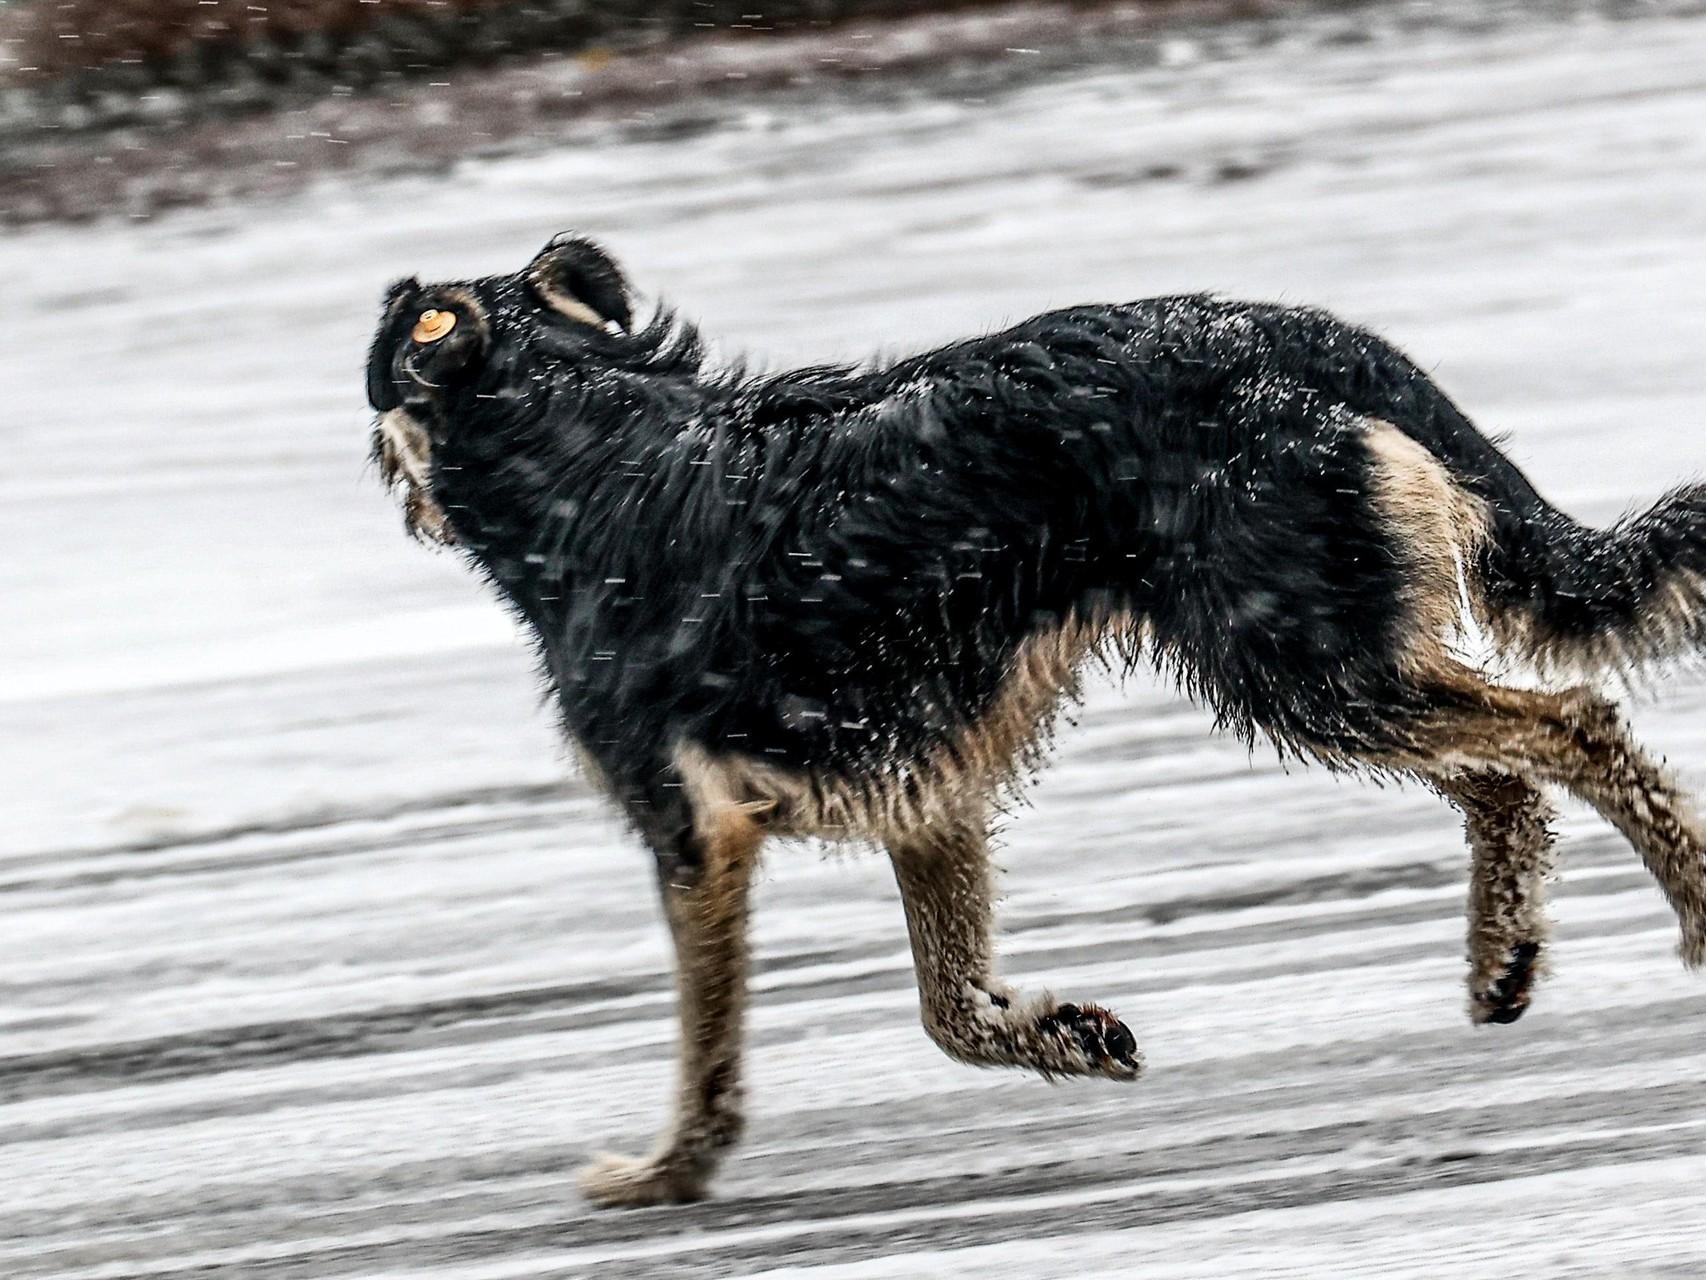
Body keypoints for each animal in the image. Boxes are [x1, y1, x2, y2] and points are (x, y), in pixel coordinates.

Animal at [366, 235, 1706, 1208]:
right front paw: (1065, 1035)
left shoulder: (690, 833)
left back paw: (1685, 913)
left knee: (1569, 725)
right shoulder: (925, 798)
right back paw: (1501, 955)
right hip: (1329, 668)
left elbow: (710, 1043)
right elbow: (949, 1008)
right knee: (1505, 776)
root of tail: (1297, 332)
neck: (589, 447)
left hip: (1307, 664)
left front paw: (669, 1172)